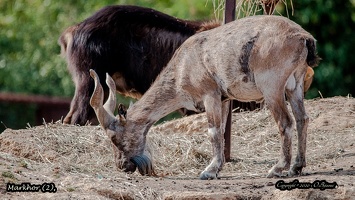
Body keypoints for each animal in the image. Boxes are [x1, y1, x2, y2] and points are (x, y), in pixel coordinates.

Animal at [89, 14, 320, 179]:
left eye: (115, 139)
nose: (122, 166)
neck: (181, 68)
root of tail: (304, 38)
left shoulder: (210, 93)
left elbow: (213, 131)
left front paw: (209, 171)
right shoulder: (224, 98)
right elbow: (223, 130)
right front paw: (218, 168)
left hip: (272, 87)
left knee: (285, 122)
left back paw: (277, 168)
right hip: (295, 85)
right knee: (302, 118)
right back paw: (297, 167)